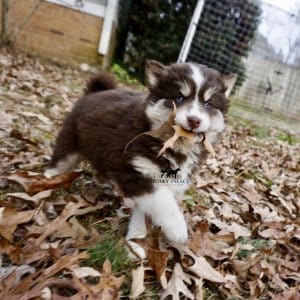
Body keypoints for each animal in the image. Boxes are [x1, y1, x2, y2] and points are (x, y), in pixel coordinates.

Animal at [44, 61, 237, 251]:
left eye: (209, 104)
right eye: (179, 98)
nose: (194, 120)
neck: (175, 144)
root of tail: (95, 92)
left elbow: (146, 206)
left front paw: (137, 233)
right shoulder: (135, 169)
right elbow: (163, 202)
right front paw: (177, 229)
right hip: (69, 145)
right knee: (58, 163)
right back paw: (46, 180)